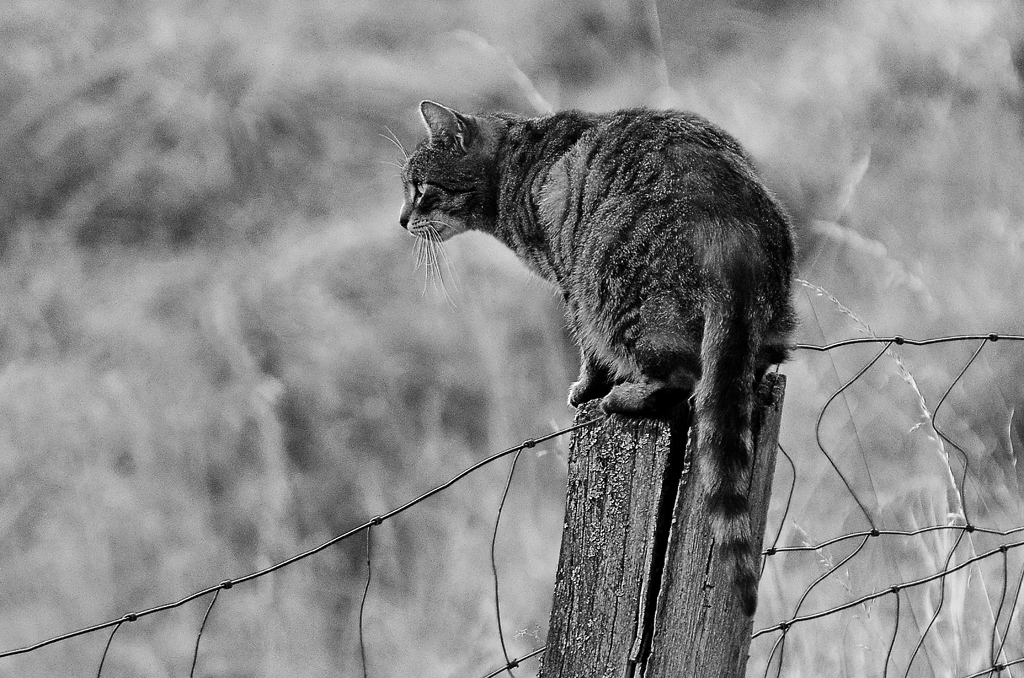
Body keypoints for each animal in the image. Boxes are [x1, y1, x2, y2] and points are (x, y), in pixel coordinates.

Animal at [395, 99, 794, 614]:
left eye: (420, 188)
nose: (401, 219)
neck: (515, 166)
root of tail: (734, 223)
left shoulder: (570, 288)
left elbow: (588, 352)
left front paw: (587, 388)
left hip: (613, 289)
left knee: (679, 376)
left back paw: (624, 396)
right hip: (767, 322)